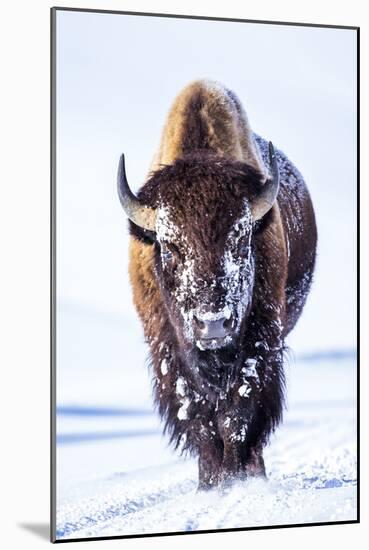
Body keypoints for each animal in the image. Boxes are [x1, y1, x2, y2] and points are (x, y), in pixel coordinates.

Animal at [117, 80, 316, 490]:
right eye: (170, 247)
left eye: (241, 241)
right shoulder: (168, 350)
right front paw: (211, 484)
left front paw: (236, 479)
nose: (212, 325)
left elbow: (237, 412)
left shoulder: (259, 342)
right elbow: (198, 417)